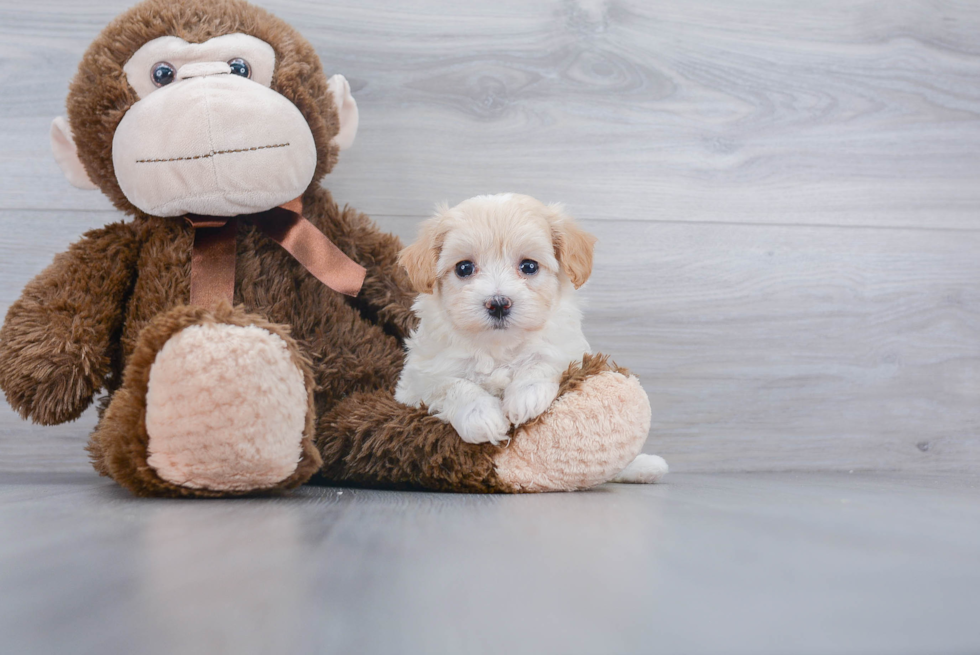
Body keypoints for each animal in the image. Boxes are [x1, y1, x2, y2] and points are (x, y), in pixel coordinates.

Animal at [392, 192, 592, 444]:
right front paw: (480, 415)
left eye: (529, 266)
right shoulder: (417, 379)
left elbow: (545, 359)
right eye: (464, 268)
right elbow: (450, 384)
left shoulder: (569, 348)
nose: (498, 304)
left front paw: (527, 395)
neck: (497, 346)